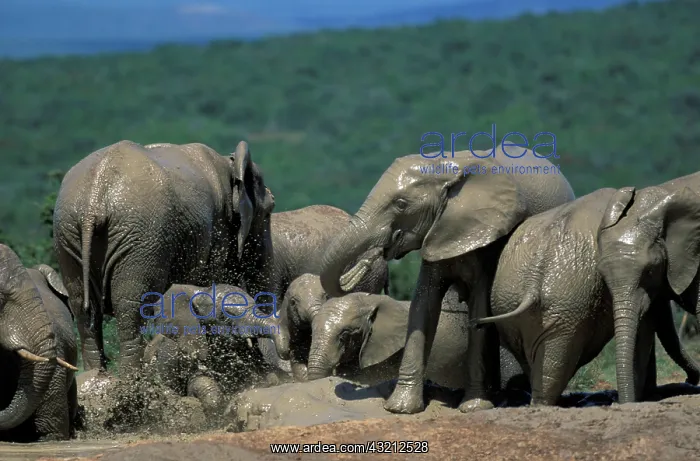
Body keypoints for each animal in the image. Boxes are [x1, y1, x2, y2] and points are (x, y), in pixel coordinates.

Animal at [53, 140, 274, 374]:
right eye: (269, 211)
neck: (230, 163)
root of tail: (93, 202)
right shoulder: (218, 231)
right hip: (141, 239)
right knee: (132, 310)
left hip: (68, 236)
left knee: (84, 311)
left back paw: (98, 376)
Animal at [319, 147, 575, 414]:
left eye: (401, 204)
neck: (445, 165)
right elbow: (424, 306)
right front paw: (400, 408)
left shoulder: (488, 238)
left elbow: (479, 309)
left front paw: (473, 408)